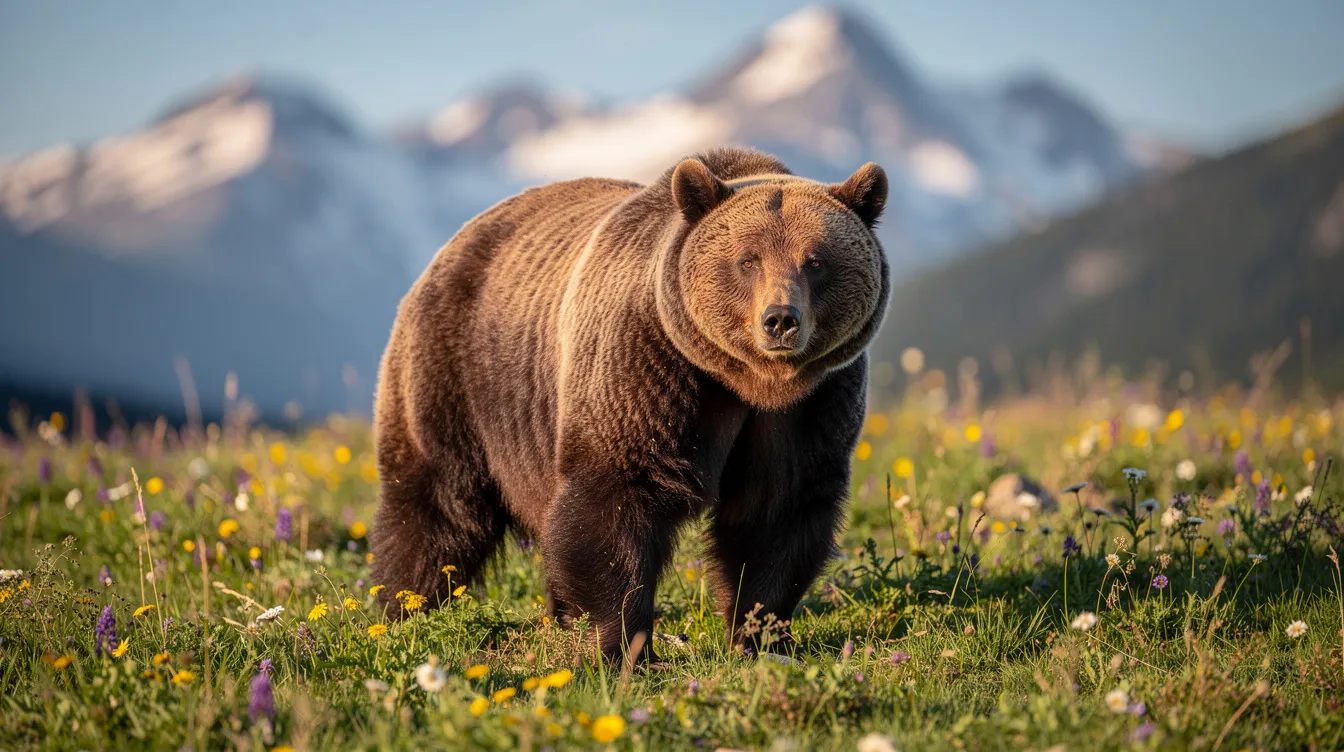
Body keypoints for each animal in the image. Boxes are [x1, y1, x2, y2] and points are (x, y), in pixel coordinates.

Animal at [370, 146, 890, 662]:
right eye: (747, 260)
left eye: (815, 261)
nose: (780, 319)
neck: (747, 383)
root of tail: (455, 242)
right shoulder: (648, 364)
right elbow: (615, 497)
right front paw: (622, 646)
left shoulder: (810, 405)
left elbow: (778, 512)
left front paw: (762, 637)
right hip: (461, 378)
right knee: (437, 508)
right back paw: (404, 611)